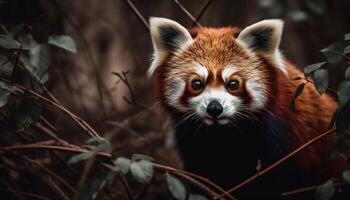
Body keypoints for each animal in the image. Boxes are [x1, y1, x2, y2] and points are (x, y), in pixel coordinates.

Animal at [147, 17, 336, 198]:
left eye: (233, 84)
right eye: (196, 84)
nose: (214, 108)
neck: (222, 134)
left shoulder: (278, 139)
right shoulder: (192, 142)